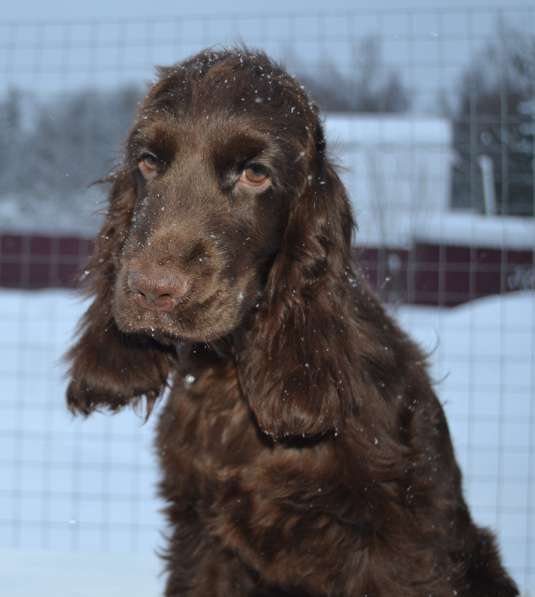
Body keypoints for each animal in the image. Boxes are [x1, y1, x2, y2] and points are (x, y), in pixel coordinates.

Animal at [66, 49, 520, 592]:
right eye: (148, 162)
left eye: (255, 174)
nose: (153, 290)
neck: (229, 377)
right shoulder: (202, 538)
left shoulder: (402, 548)